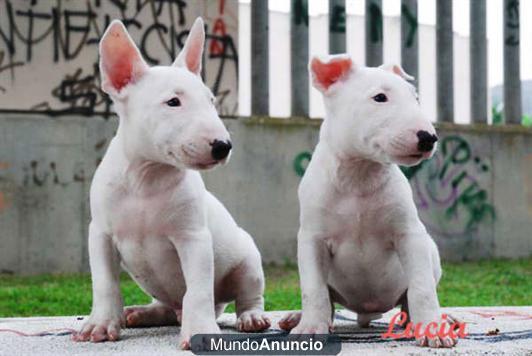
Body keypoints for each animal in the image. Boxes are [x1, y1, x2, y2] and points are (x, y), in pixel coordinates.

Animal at [72, 18, 268, 350]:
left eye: (211, 101)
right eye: (173, 102)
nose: (223, 146)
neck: (146, 178)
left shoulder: (193, 238)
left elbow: (198, 290)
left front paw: (200, 330)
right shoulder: (100, 233)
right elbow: (105, 283)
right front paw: (100, 324)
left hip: (248, 259)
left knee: (246, 295)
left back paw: (252, 318)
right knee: (167, 306)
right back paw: (141, 313)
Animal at [278, 55, 458, 348]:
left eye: (415, 98)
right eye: (380, 97)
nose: (429, 138)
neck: (359, 176)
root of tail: (366, 313)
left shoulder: (410, 234)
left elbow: (422, 288)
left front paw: (433, 330)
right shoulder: (312, 239)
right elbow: (313, 289)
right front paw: (310, 328)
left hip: (430, 252)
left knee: (410, 298)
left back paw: (440, 318)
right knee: (328, 300)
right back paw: (296, 317)